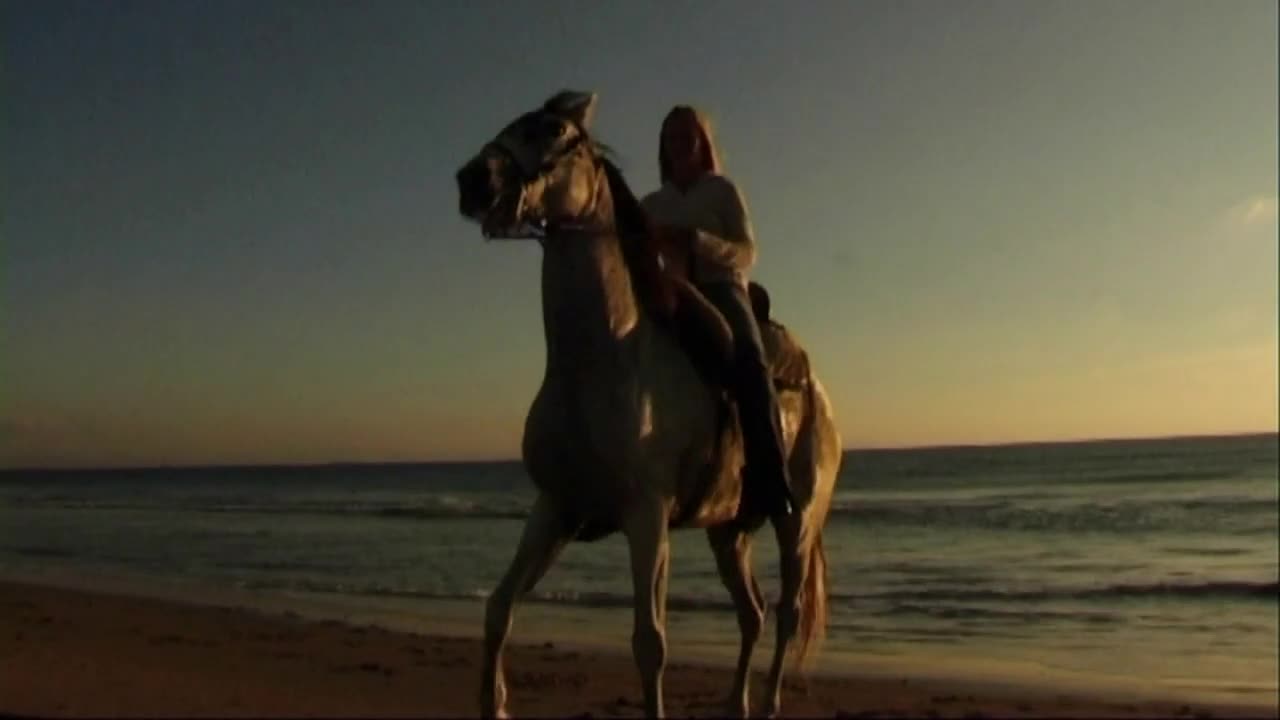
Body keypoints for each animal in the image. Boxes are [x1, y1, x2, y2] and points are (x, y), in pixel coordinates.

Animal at [455, 92, 844, 712]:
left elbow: (649, 644)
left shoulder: (646, 515)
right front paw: (495, 703)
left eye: (553, 131)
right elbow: (498, 609)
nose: (473, 180)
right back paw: (735, 704)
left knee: (787, 614)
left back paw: (766, 705)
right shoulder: (556, 508)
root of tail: (823, 401)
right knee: (753, 613)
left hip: (798, 523)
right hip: (728, 531)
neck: (603, 358)